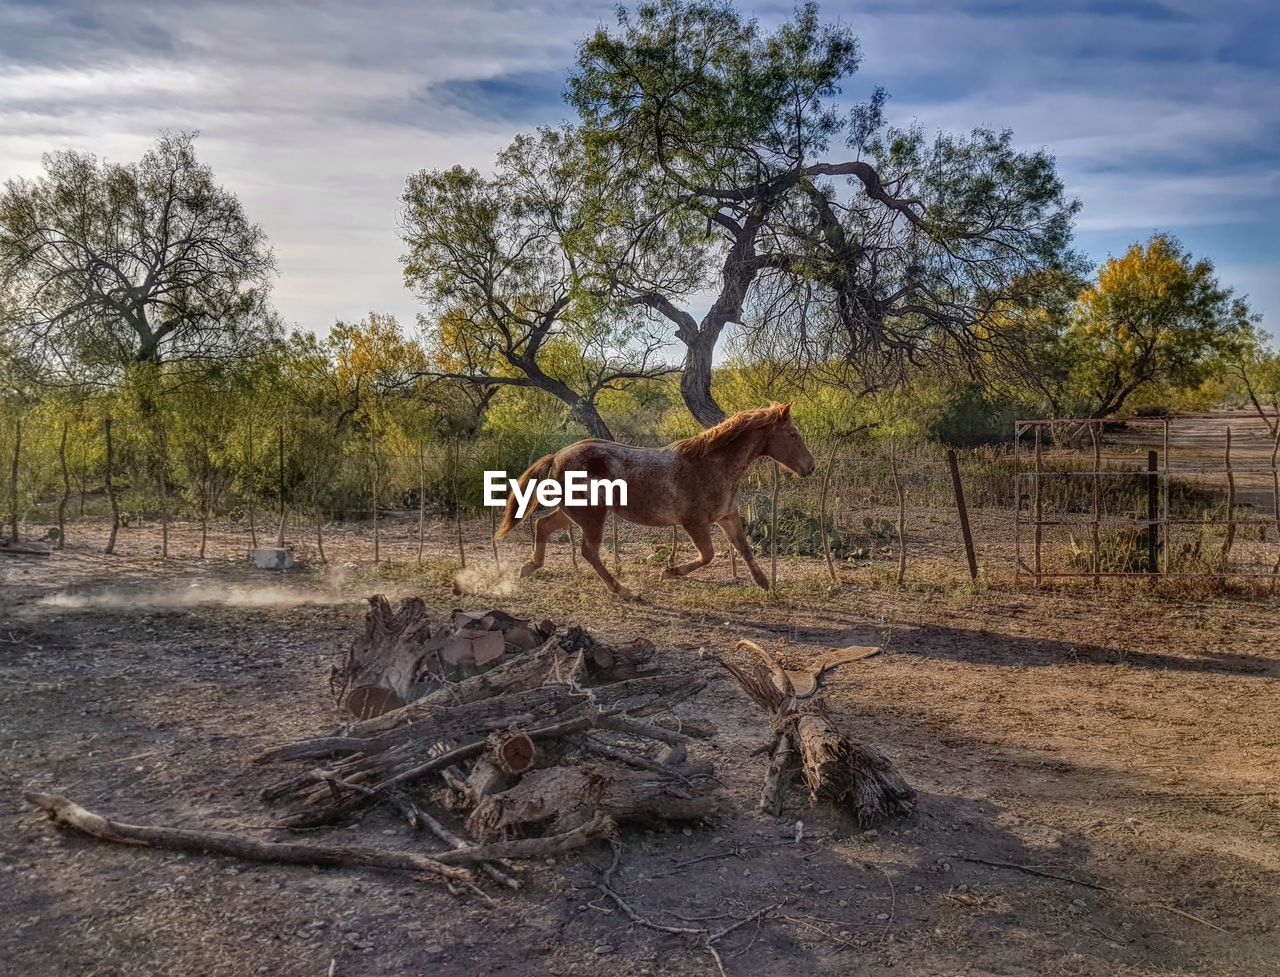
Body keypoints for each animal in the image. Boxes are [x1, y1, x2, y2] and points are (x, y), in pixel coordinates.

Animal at [494, 402, 814, 596]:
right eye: (793, 434)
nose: (810, 467)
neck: (711, 464)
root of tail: (558, 456)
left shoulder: (727, 516)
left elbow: (744, 549)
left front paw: (765, 584)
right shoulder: (694, 522)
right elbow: (707, 555)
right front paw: (669, 572)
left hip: (575, 513)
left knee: (544, 526)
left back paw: (528, 568)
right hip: (592, 516)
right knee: (588, 552)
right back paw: (622, 590)